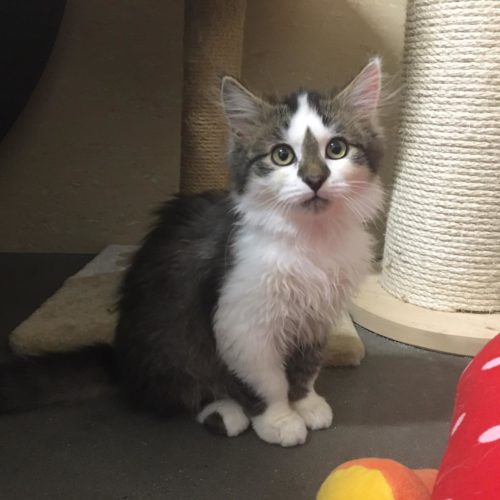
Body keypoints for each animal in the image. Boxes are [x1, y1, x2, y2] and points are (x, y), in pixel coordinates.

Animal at [0, 58, 385, 447]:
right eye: (282, 155)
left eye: (336, 149)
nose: (315, 179)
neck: (310, 237)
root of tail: (121, 364)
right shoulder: (241, 323)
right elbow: (267, 379)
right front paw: (279, 420)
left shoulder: (315, 316)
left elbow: (306, 368)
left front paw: (306, 404)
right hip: (172, 343)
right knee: (174, 396)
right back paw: (225, 411)